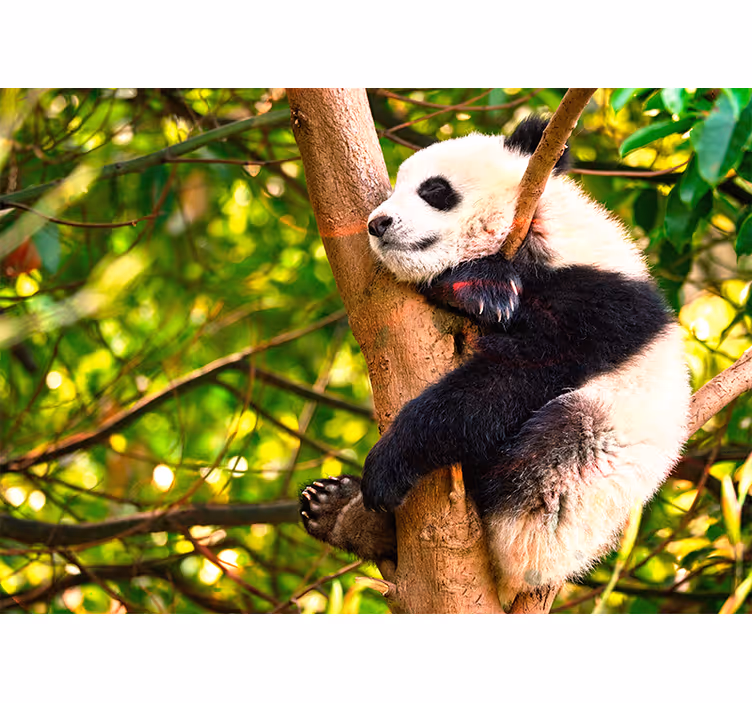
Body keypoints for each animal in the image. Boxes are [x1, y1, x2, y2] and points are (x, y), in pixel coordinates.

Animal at [300, 116, 691, 608]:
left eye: (434, 190)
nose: (378, 222)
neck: (538, 233)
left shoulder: (599, 304)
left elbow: (516, 377)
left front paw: (391, 459)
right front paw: (470, 289)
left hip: (588, 478)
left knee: (554, 450)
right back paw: (338, 511)